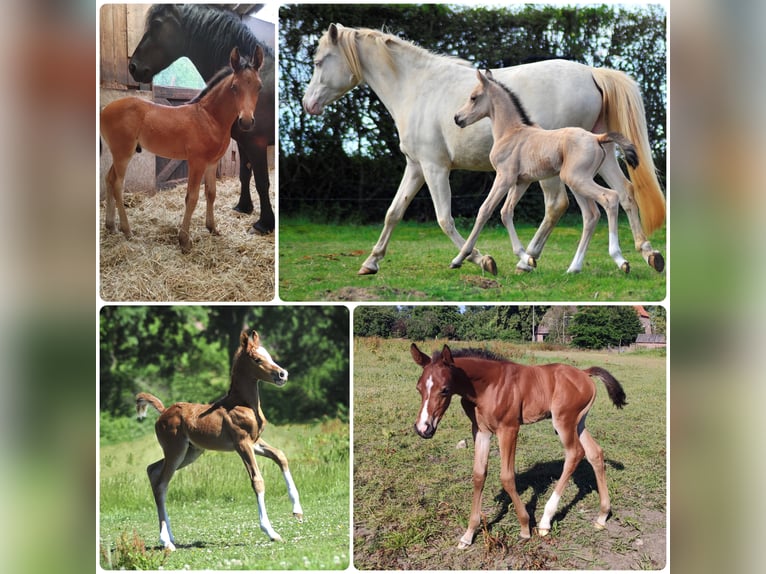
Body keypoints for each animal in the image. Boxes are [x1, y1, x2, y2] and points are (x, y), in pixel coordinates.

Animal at [130, 4, 276, 234]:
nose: (133, 67)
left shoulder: (256, 143)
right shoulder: (244, 143)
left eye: (156, 24)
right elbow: (245, 174)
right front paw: (243, 207)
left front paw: (264, 224)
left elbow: (262, 182)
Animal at [412, 344, 628, 552]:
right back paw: (602, 516)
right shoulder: (481, 431)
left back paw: (545, 521)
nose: (423, 428)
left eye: (445, 389)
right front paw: (468, 534)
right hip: (579, 422)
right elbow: (479, 475)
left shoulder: (509, 429)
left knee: (575, 454)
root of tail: (584, 373)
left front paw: (525, 527)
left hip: (564, 421)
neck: (487, 386)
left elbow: (507, 477)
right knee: (595, 453)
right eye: (418, 388)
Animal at [452, 70, 640, 276]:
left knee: (611, 198)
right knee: (591, 215)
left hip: (578, 180)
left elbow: (485, 210)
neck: (511, 133)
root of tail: (597, 137)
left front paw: (459, 259)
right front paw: (527, 258)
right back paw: (574, 267)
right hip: (578, 183)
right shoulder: (521, 181)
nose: (457, 118)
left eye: (473, 97)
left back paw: (620, 259)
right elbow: (506, 212)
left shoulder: (504, 177)